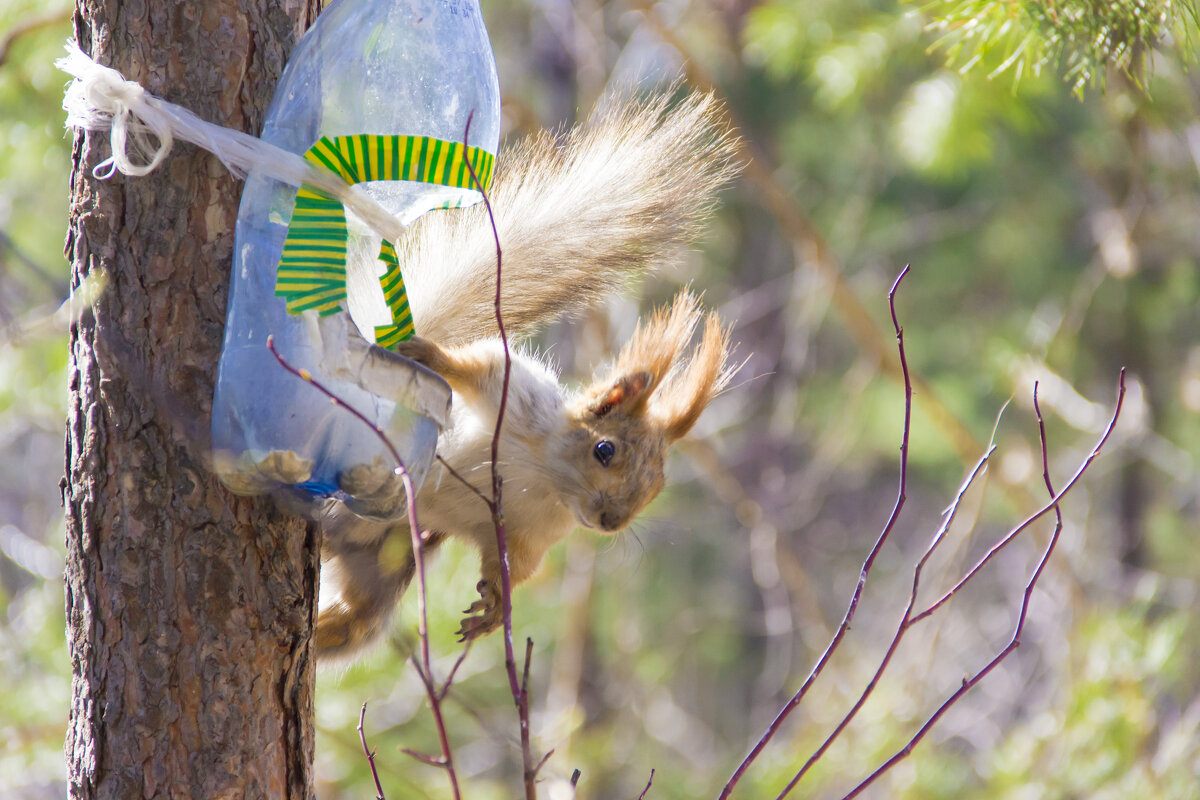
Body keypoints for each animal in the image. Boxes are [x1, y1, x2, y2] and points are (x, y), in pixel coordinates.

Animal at [314, 92, 734, 657]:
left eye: (658, 484)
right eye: (605, 450)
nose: (611, 522)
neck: (547, 477)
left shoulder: (527, 534)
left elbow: (512, 565)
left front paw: (494, 610)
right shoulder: (514, 396)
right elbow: (479, 364)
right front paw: (429, 354)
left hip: (387, 555)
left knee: (357, 621)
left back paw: (322, 629)